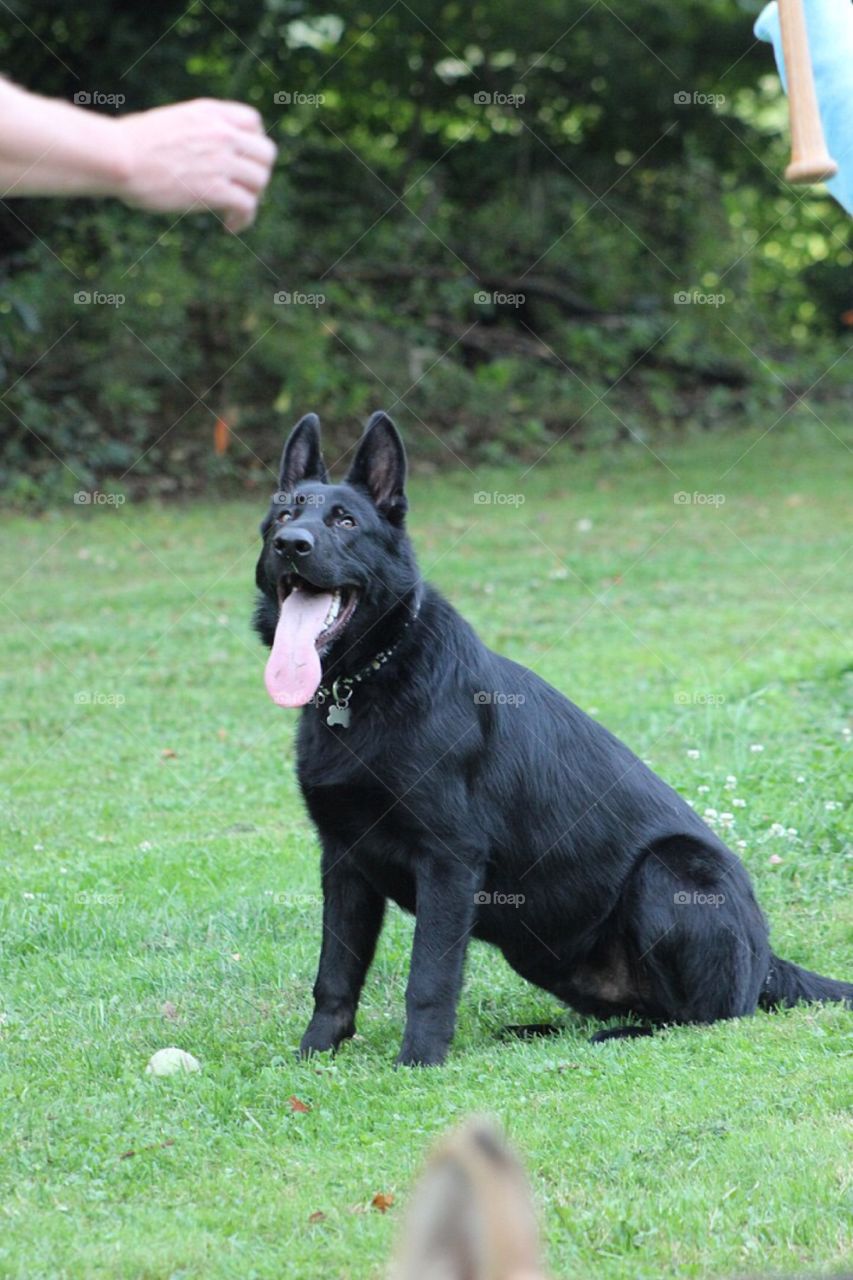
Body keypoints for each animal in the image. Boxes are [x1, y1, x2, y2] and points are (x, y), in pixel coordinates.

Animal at [253, 414, 850, 1064]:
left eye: (345, 522)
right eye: (284, 517)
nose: (292, 545)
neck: (362, 684)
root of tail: (767, 960)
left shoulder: (449, 861)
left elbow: (428, 978)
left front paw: (419, 1061)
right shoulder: (344, 862)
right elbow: (334, 976)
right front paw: (314, 1054)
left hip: (667, 872)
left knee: (707, 1017)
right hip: (538, 949)